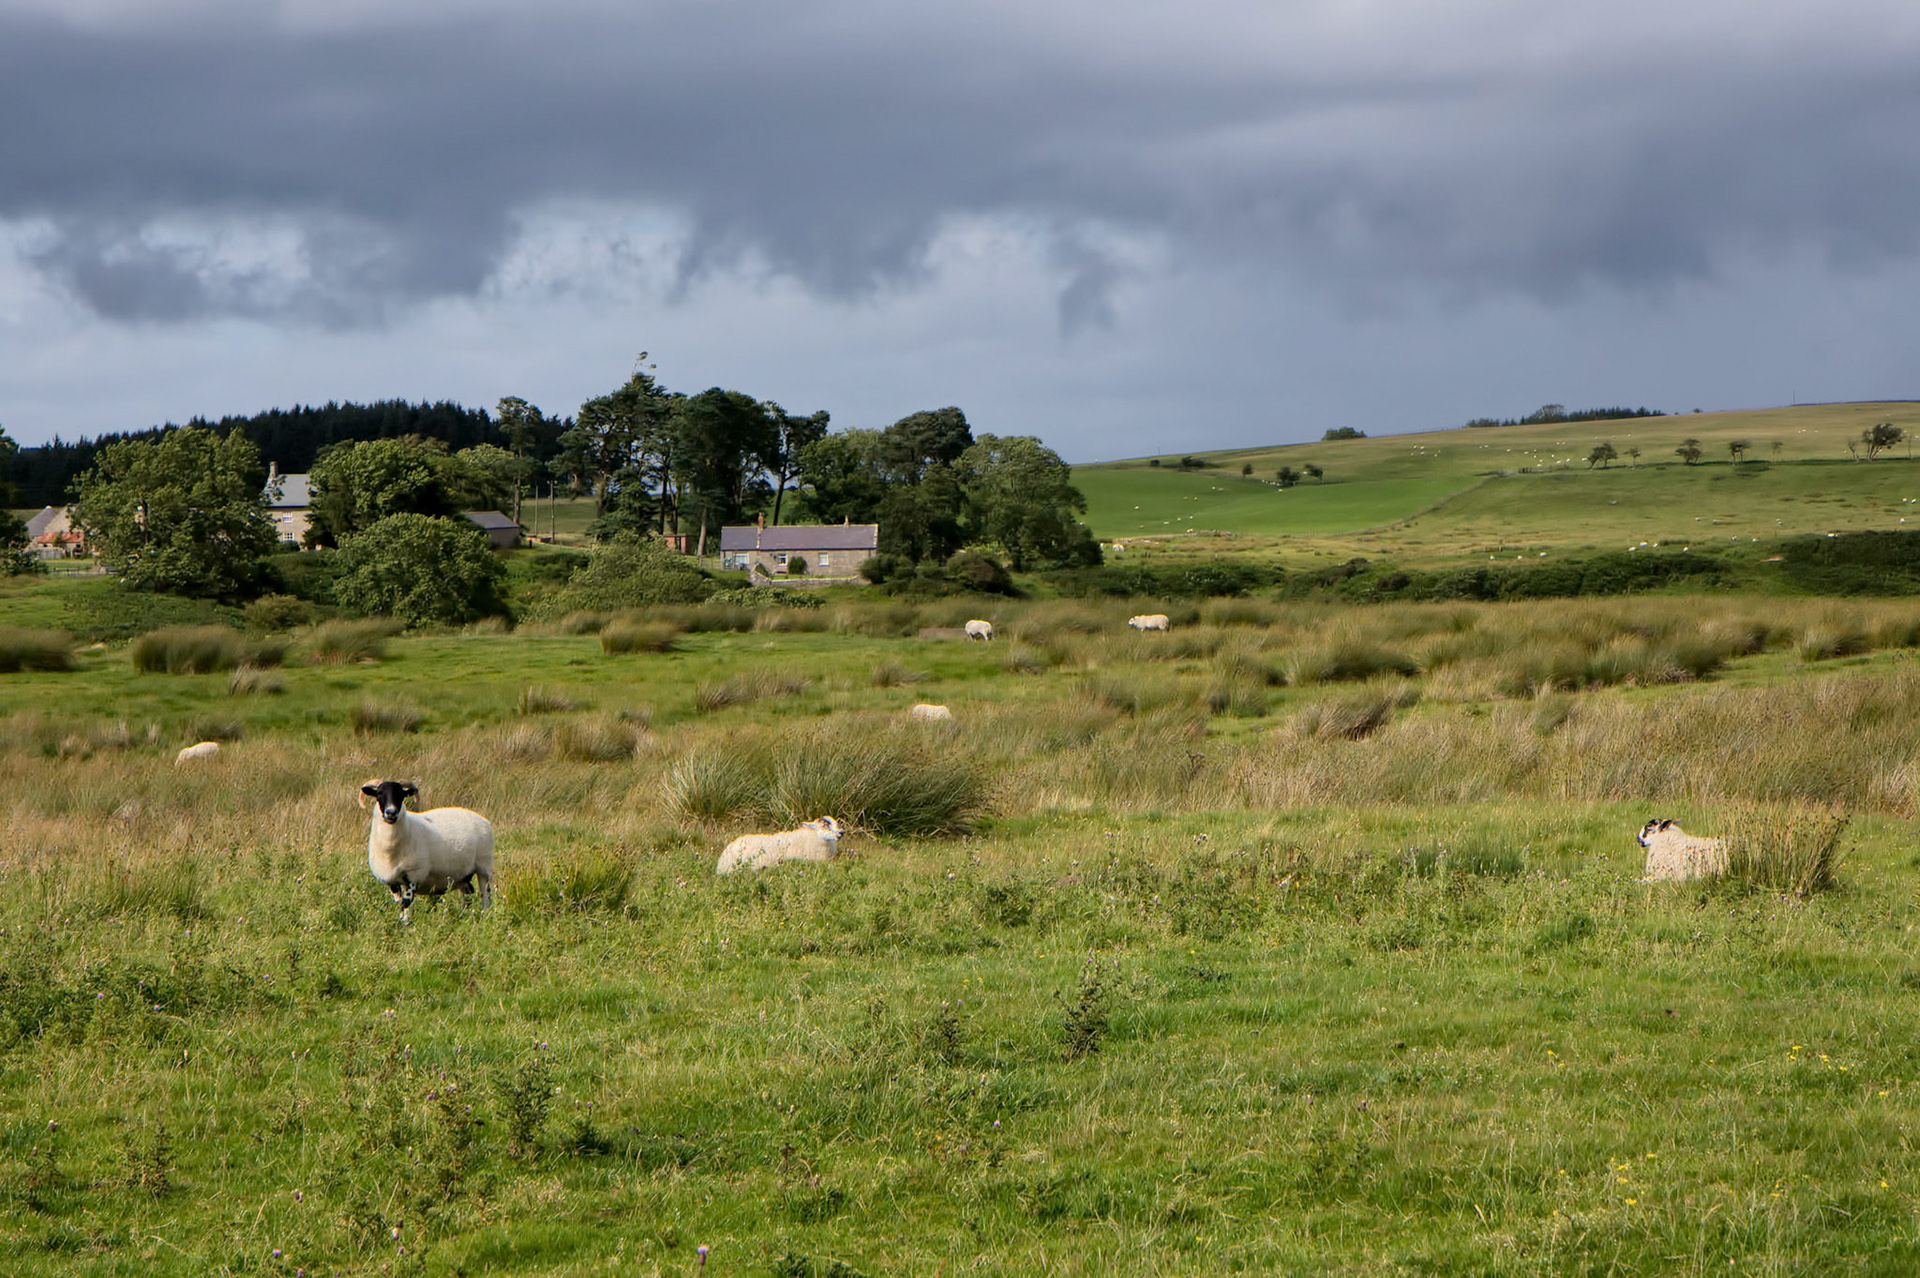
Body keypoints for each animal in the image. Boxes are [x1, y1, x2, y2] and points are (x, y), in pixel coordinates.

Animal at [359, 779, 496, 923]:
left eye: (401, 794)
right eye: (379, 794)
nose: (391, 812)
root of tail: (483, 820)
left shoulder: (414, 874)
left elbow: (406, 902)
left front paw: (406, 924)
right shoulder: (392, 880)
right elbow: (399, 902)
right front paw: (401, 921)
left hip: (484, 867)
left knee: (485, 896)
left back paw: (484, 917)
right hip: (463, 875)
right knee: (467, 894)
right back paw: (461, 917)